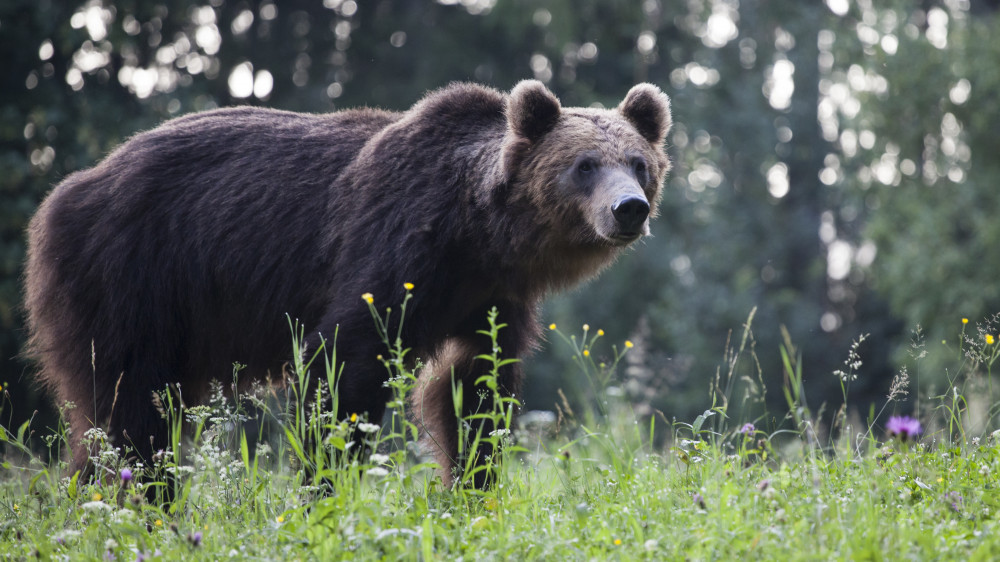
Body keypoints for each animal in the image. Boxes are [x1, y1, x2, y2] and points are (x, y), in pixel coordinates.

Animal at [23, 80, 676, 486]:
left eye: (638, 162)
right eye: (584, 165)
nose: (629, 209)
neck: (480, 234)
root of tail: (69, 189)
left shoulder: (490, 299)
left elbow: (475, 389)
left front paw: (473, 484)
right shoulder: (394, 252)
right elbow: (343, 366)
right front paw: (326, 484)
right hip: (130, 275)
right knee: (129, 405)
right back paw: (139, 498)